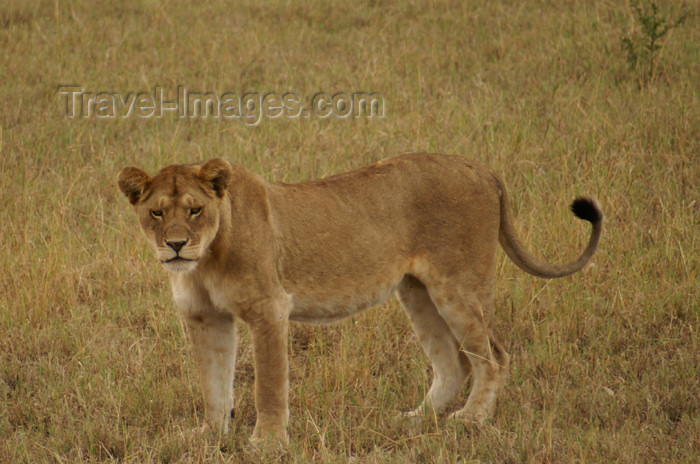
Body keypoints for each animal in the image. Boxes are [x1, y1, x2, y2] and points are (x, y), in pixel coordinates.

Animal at [117, 154, 600, 444]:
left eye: (195, 210)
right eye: (156, 212)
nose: (176, 245)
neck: (206, 260)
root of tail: (480, 167)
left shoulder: (269, 309)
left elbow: (268, 384)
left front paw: (267, 443)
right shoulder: (205, 318)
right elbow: (213, 385)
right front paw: (209, 436)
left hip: (459, 286)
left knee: (493, 356)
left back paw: (470, 421)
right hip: (417, 290)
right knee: (453, 363)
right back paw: (418, 419)